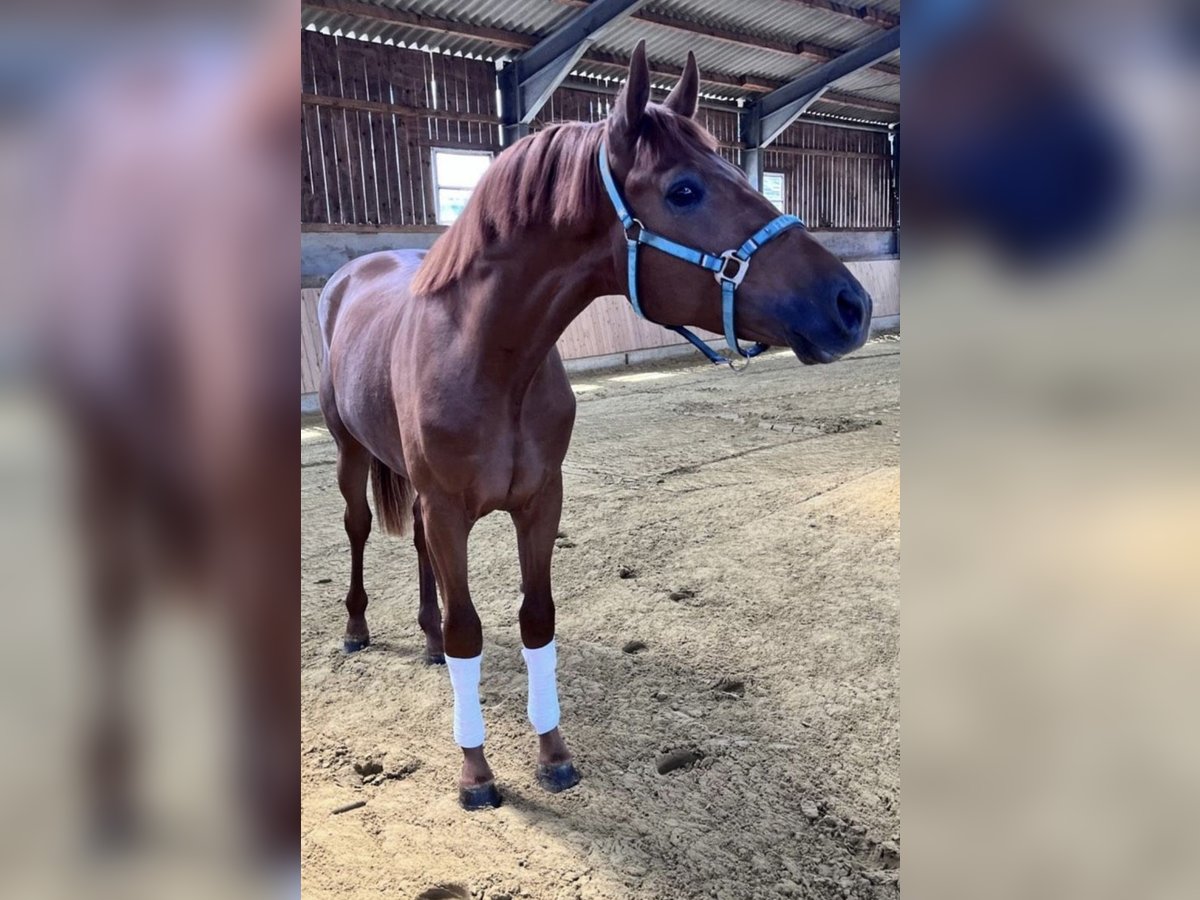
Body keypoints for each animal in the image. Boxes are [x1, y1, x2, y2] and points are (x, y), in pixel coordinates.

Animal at [319, 42, 873, 816]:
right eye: (684, 191)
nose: (851, 304)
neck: (488, 359)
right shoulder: (450, 510)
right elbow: (469, 632)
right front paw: (476, 772)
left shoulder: (539, 502)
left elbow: (537, 619)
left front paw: (553, 754)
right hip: (350, 457)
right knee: (360, 529)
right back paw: (356, 630)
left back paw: (423, 642)